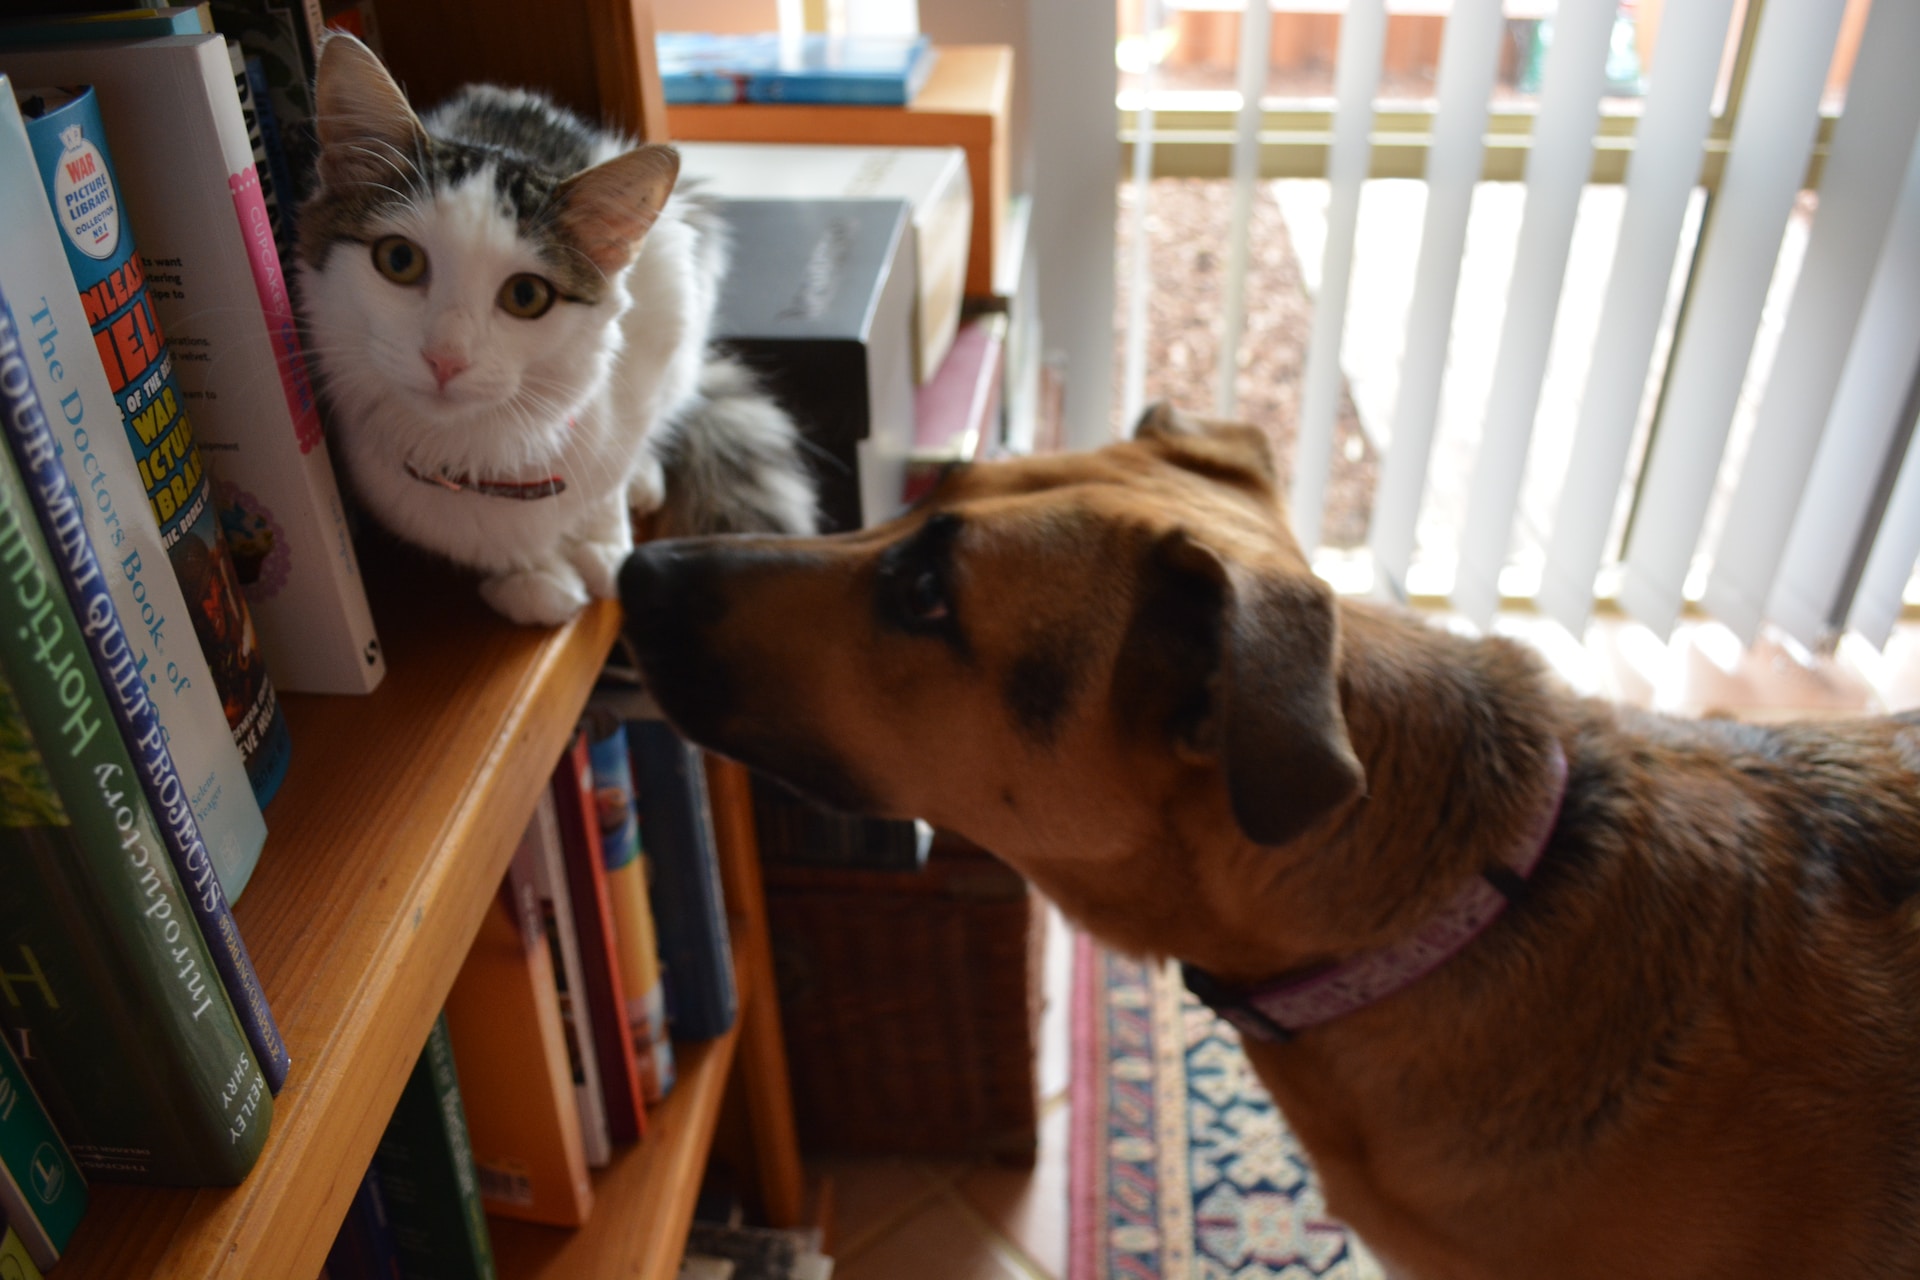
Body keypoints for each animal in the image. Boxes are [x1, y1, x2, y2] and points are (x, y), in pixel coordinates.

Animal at [297, 33, 817, 625]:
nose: (445, 358)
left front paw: (604, 544)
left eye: (526, 296)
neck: (486, 452)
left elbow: (610, 479)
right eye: (399, 260)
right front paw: (533, 577)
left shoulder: (651, 347)